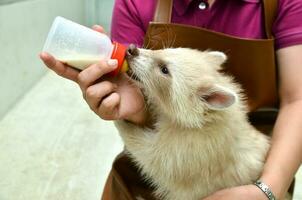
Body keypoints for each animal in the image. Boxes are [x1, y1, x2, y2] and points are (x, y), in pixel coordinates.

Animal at [114, 46, 272, 199]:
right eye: (167, 49)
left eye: (164, 69)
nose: (131, 50)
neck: (209, 118)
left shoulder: (189, 153)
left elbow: (148, 154)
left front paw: (122, 125)